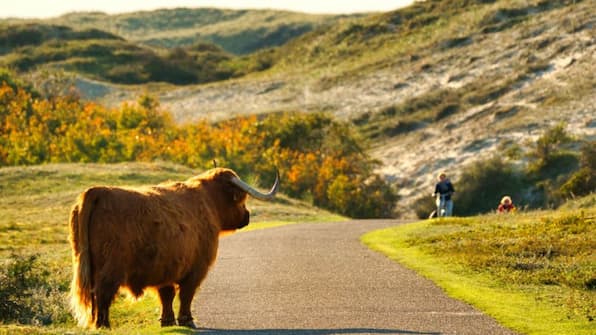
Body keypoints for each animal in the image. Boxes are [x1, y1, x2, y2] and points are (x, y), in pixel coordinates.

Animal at [68, 168, 278, 328]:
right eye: (240, 200)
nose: (247, 216)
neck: (209, 202)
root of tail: (99, 191)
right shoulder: (197, 268)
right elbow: (186, 294)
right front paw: (187, 320)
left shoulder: (166, 268)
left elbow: (166, 295)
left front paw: (167, 321)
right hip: (110, 268)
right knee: (103, 293)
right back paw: (104, 325)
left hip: (86, 264)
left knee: (95, 296)